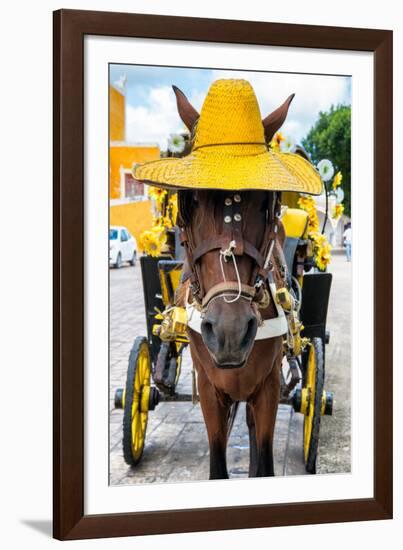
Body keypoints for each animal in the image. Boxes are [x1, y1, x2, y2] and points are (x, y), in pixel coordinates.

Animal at [173, 86, 294, 478]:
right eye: (190, 200)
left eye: (265, 202)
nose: (230, 330)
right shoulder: (210, 391)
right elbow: (217, 464)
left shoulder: (268, 387)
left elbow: (265, 461)